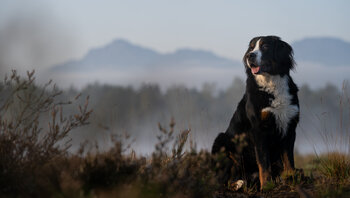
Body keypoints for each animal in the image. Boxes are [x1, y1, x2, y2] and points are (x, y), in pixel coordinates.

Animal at [212, 36, 300, 190]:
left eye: (265, 46)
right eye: (252, 47)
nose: (249, 56)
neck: (272, 83)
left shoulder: (289, 126)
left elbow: (289, 159)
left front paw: (292, 179)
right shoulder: (259, 129)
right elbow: (264, 162)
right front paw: (267, 185)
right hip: (221, 140)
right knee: (223, 179)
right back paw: (237, 184)